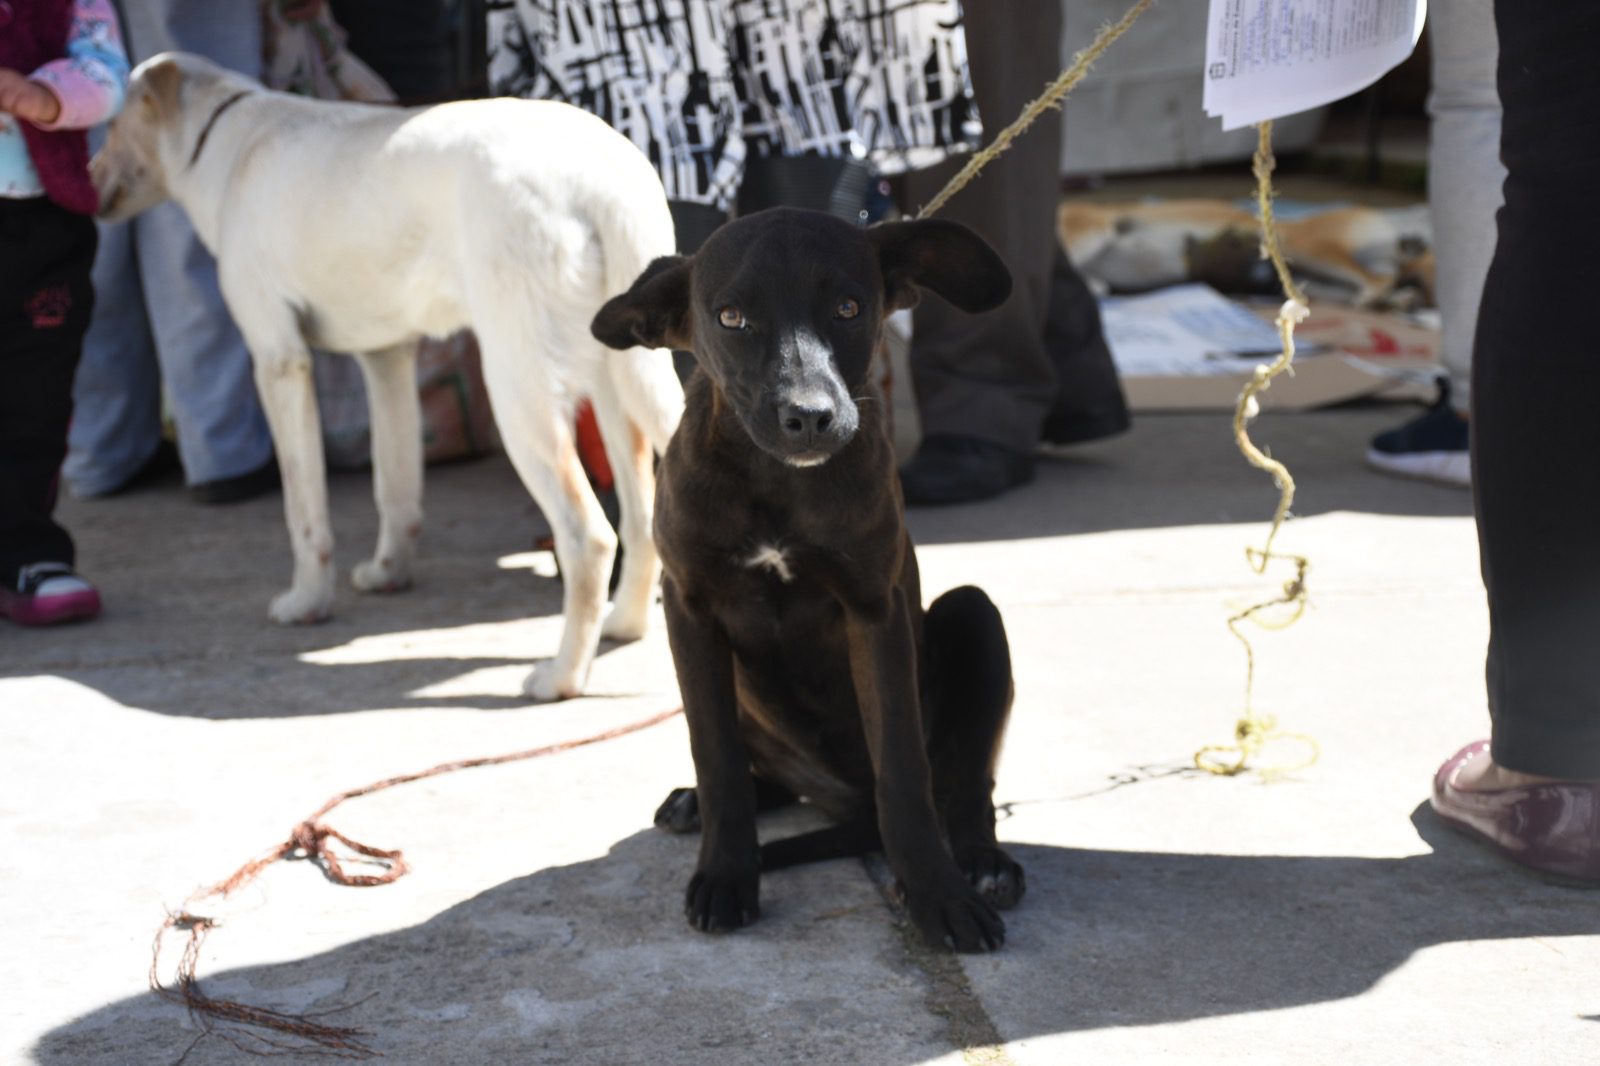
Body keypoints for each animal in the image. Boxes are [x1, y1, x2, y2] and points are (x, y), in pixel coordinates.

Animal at [93, 54, 681, 697]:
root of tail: (602, 179)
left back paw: (561, 677)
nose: (85, 174)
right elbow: (395, 486)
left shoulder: (279, 361)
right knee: (643, 516)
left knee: (589, 536)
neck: (223, 137)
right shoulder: (387, 359)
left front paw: (307, 602)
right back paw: (625, 624)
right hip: (616, 384)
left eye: (112, 124)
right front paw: (388, 571)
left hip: (519, 390)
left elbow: (304, 512)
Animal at [592, 208, 1024, 947]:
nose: (810, 417)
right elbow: (717, 758)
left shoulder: (875, 608)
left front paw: (937, 894)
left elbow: (903, 773)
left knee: (966, 782)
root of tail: (842, 802)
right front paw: (727, 873)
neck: (773, 481)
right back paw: (693, 804)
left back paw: (982, 862)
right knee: (755, 770)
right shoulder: (689, 606)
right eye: (731, 317)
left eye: (849, 307)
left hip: (975, 614)